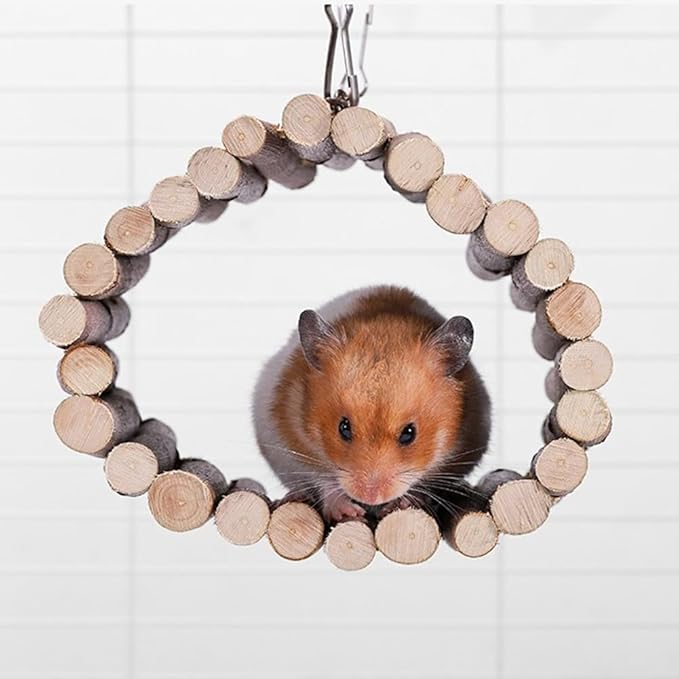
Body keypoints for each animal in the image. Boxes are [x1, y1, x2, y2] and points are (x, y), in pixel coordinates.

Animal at [252, 285, 491, 523]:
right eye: (343, 428)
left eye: (409, 433)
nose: (370, 497)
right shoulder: (291, 446)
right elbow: (323, 479)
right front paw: (348, 511)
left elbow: (424, 484)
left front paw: (402, 502)